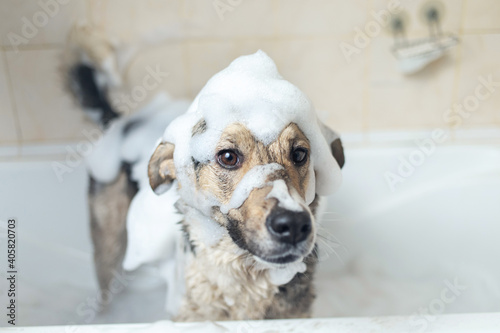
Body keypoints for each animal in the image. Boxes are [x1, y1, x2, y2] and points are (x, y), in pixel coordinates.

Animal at [63, 24, 344, 320]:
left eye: (300, 154)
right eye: (228, 157)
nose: (292, 225)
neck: (245, 285)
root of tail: (122, 121)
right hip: (108, 242)